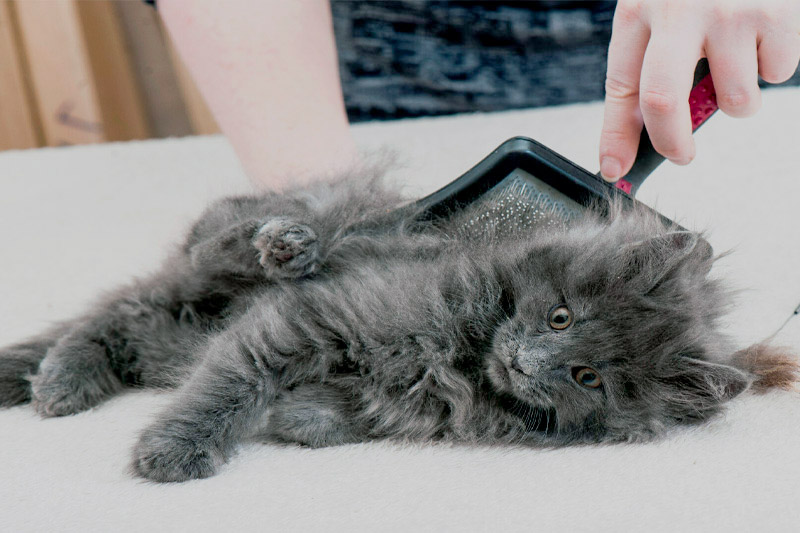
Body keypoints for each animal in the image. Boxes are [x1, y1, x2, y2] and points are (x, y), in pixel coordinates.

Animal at [0, 176, 792, 482]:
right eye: (561, 314)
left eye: (588, 376)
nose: (527, 360)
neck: (465, 357)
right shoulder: (305, 316)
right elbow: (226, 386)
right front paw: (174, 448)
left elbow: (342, 412)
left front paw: (300, 417)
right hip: (233, 254)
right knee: (134, 299)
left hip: (172, 329)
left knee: (127, 322)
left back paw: (56, 380)